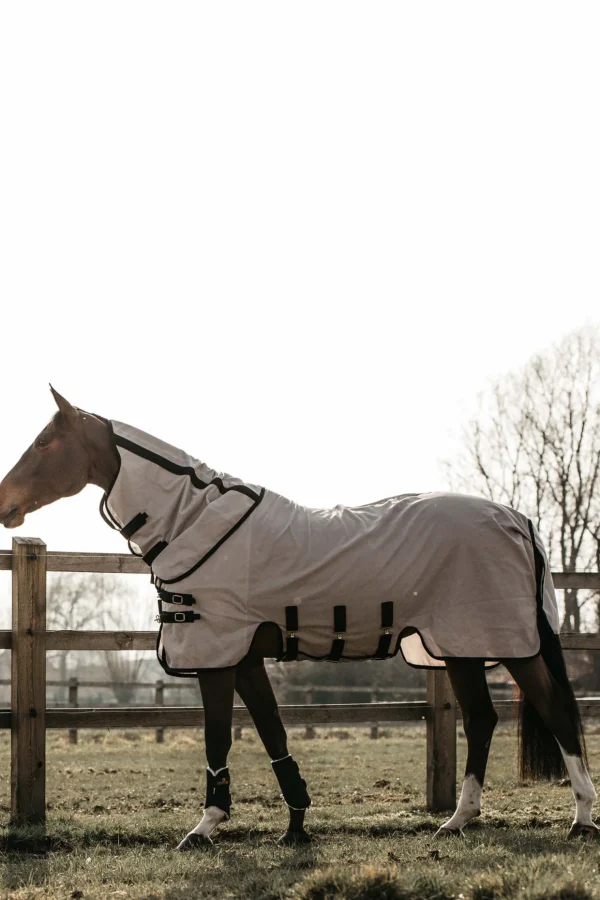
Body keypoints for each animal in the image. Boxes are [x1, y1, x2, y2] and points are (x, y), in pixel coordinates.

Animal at [0, 388, 596, 852]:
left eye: (46, 442)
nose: (5, 503)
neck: (194, 520)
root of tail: (516, 519)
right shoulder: (245, 659)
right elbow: (271, 732)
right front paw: (296, 824)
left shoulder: (216, 657)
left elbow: (218, 737)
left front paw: (205, 827)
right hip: (465, 649)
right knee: (494, 718)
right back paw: (464, 820)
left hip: (499, 644)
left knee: (549, 714)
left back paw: (575, 820)